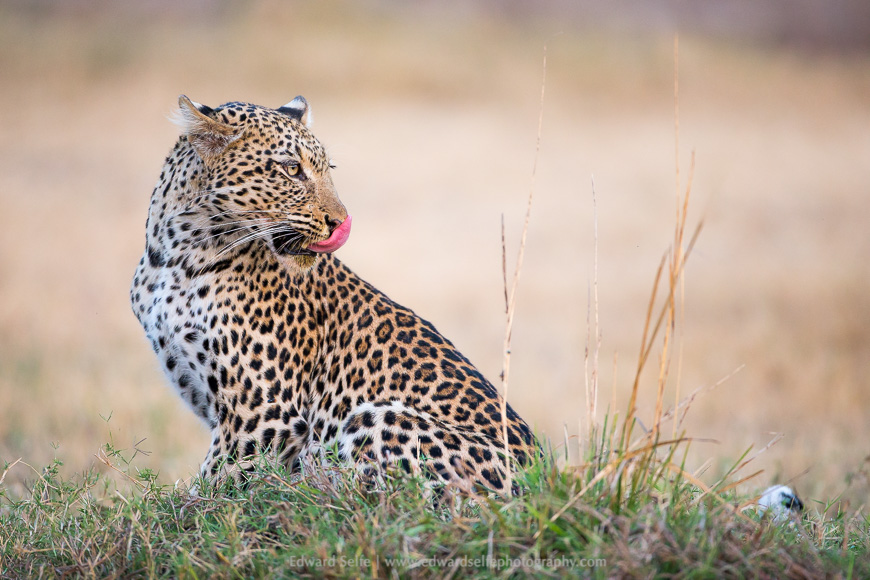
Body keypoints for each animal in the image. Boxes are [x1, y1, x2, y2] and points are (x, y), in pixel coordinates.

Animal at [130, 95, 539, 494]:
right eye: (291, 169)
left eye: (329, 168)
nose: (341, 222)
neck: (176, 256)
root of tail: (539, 476)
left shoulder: (264, 415)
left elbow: (215, 482)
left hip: (374, 415)